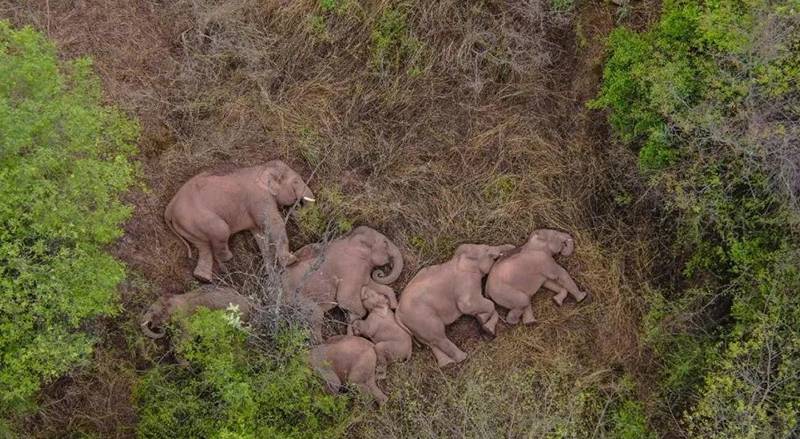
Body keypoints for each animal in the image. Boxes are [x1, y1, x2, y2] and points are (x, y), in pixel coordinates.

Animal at [164, 161, 315, 282]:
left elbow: (260, 234)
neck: (262, 168)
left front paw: (271, 275)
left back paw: (203, 278)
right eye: (296, 181)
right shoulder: (259, 198)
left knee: (203, 246)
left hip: (188, 226)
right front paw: (291, 260)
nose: (296, 206)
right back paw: (227, 259)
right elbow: (273, 223)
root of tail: (169, 207)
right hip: (197, 218)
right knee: (221, 230)